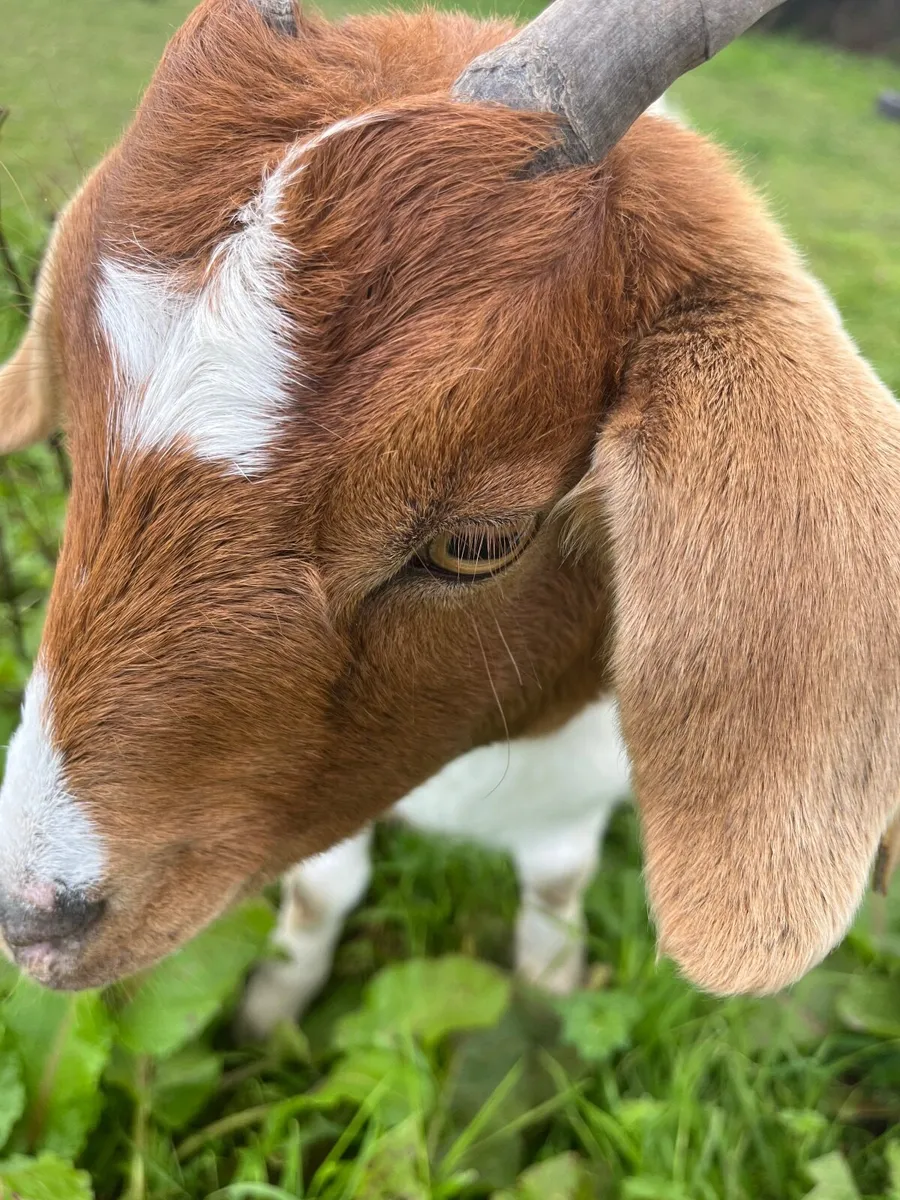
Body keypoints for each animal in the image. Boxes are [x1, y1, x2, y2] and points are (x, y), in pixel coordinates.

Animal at [1, 0, 899, 1031]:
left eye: (479, 541)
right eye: (75, 439)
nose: (32, 919)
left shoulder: (575, 796)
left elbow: (553, 892)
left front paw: (548, 1002)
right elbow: (320, 890)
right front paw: (275, 1003)